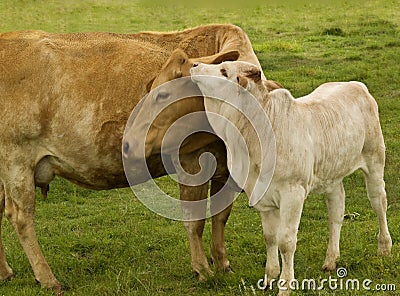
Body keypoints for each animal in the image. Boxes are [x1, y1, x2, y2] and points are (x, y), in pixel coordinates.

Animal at [0, 24, 262, 292]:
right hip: (16, 160)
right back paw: (47, 278)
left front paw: (223, 264)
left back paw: (5, 272)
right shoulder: (192, 160)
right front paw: (202, 269)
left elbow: (221, 216)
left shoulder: (227, 169)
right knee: (20, 216)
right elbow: (195, 220)